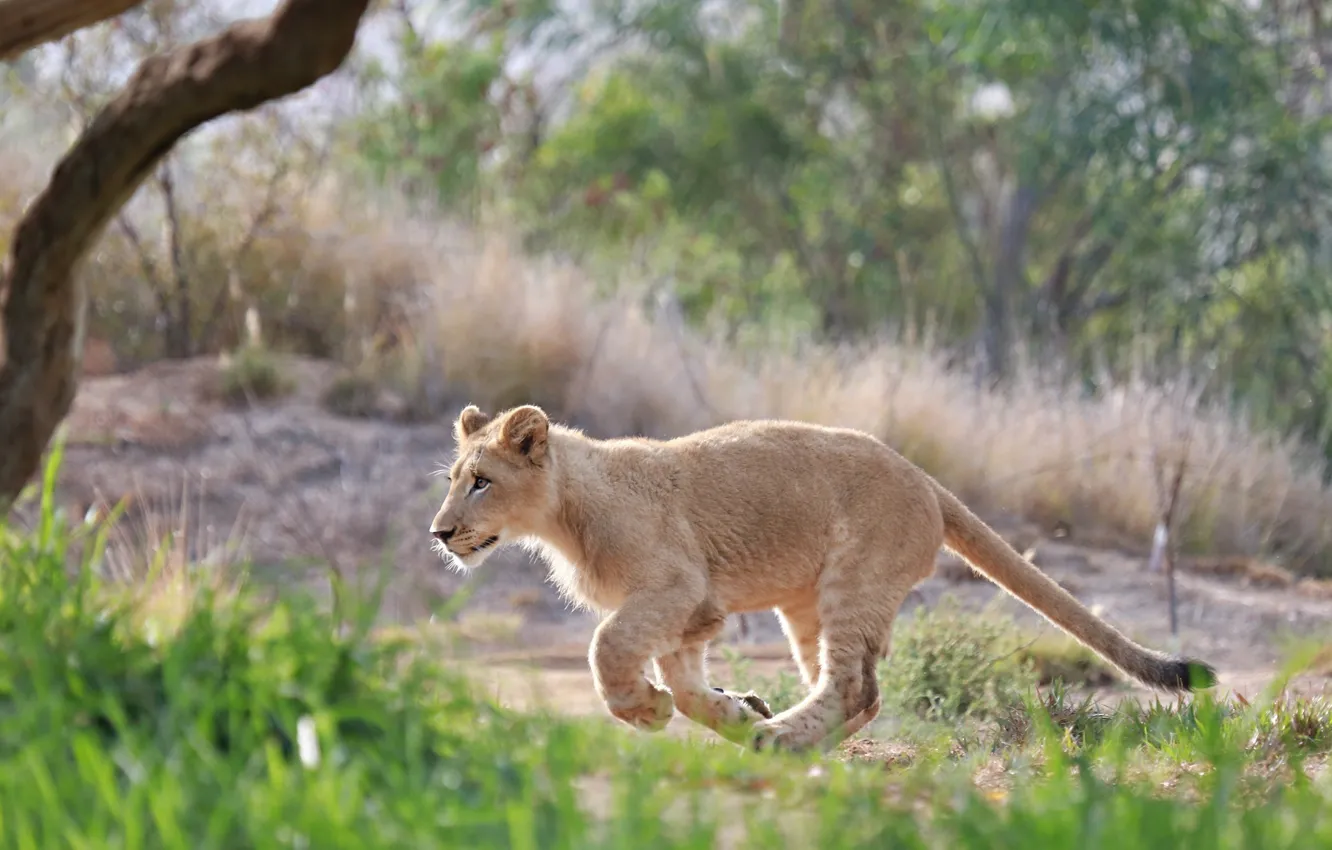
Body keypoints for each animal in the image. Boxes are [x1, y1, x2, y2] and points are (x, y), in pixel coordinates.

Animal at [428, 403, 1217, 754]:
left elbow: (609, 648)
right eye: (453, 480)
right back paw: (785, 736)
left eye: (482, 482)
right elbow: (685, 679)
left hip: (852, 581)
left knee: (855, 685)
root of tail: (928, 481)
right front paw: (731, 708)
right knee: (856, 692)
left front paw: (643, 710)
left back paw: (780, 739)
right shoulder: (696, 607)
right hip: (805, 603)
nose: (439, 533)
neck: (562, 514)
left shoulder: (673, 586)